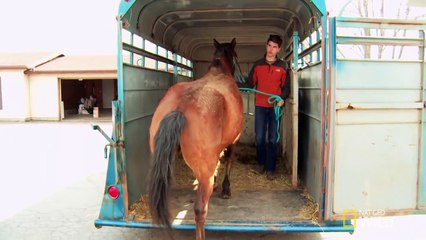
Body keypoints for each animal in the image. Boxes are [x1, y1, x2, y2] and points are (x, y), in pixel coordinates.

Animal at [148, 38, 243, 239]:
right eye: (236, 54)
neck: (219, 71)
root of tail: (182, 106)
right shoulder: (233, 141)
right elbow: (228, 162)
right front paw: (225, 189)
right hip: (204, 173)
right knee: (200, 210)